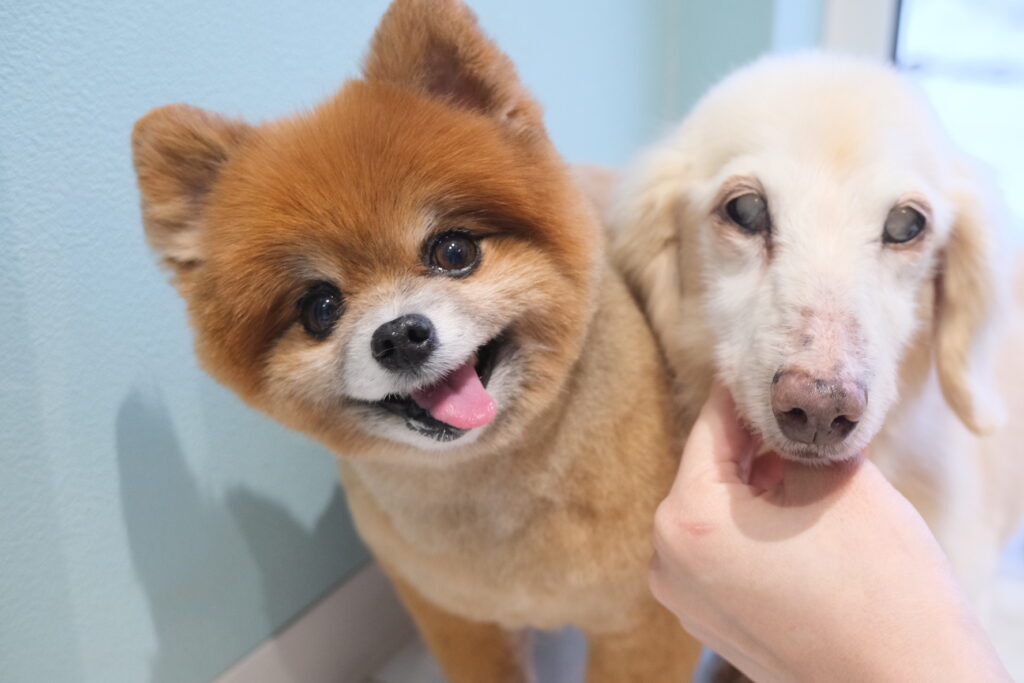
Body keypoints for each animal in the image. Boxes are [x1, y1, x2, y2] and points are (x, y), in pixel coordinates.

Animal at [131, 0, 702, 680]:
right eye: (320, 307)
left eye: (453, 251)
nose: (401, 335)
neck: (488, 484)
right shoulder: (453, 613)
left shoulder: (645, 622)